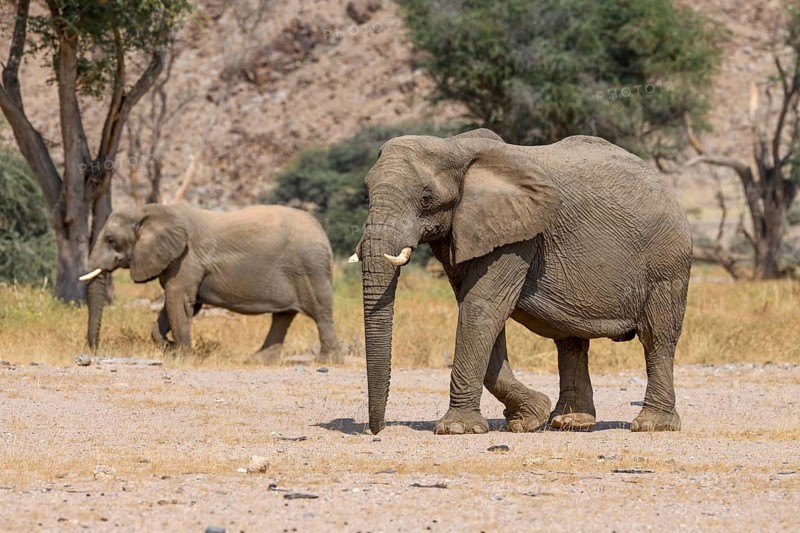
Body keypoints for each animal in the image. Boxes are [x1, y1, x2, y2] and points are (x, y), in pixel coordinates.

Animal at [80, 203, 340, 364]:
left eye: (111, 239)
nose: (94, 352)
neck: (149, 209)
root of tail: (323, 232)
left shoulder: (186, 258)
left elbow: (178, 300)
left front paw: (182, 356)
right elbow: (179, 305)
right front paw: (170, 347)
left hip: (311, 269)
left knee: (320, 313)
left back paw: (328, 360)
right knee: (283, 316)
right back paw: (257, 360)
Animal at [354, 128, 691, 435]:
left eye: (426, 198)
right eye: (367, 193)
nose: (376, 431)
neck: (456, 147)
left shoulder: (518, 235)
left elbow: (481, 307)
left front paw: (457, 429)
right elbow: (478, 309)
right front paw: (528, 418)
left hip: (667, 262)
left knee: (657, 337)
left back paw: (652, 425)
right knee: (570, 340)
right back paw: (569, 422)